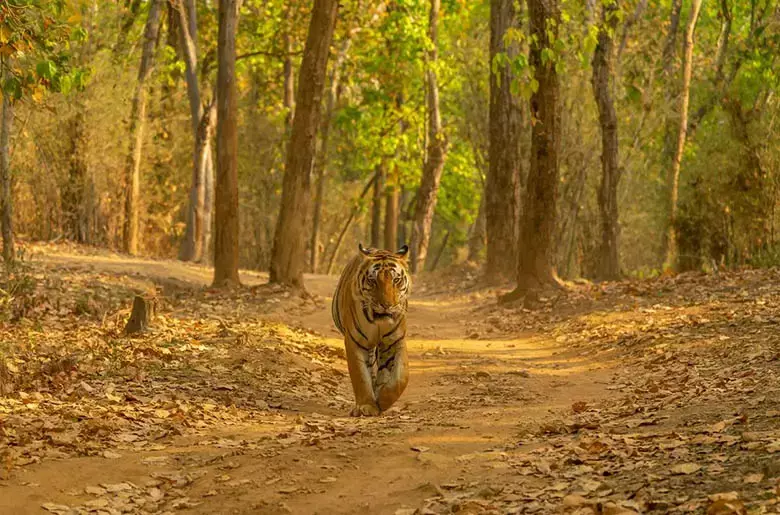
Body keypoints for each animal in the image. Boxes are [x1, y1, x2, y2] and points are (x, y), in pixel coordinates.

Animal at [331, 243, 411, 417]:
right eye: (373, 280)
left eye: (396, 280)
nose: (387, 305)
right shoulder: (355, 341)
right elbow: (360, 376)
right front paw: (367, 406)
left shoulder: (396, 341)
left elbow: (400, 378)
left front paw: (383, 401)